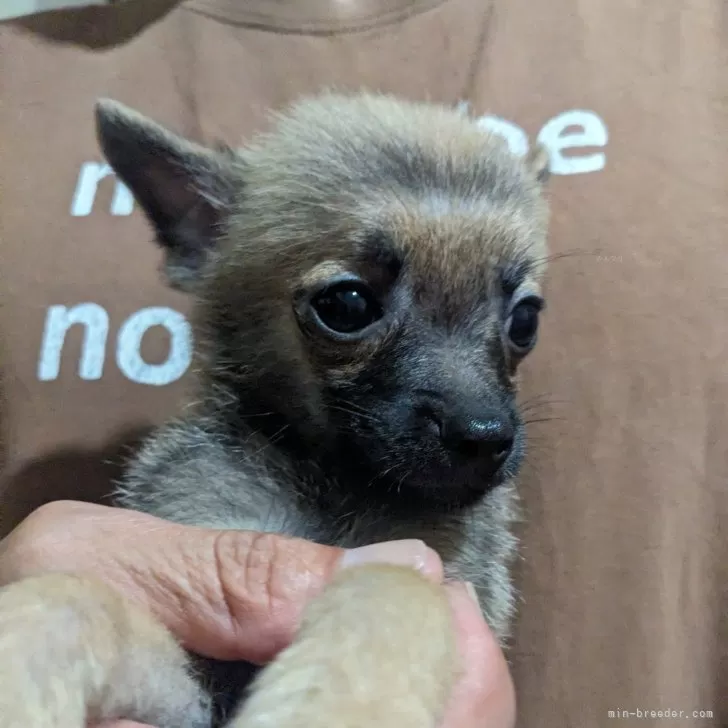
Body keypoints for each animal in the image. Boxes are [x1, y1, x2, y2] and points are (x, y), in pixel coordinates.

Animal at [0, 92, 548, 728]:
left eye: (526, 320)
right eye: (347, 305)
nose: (484, 436)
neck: (334, 487)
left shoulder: (444, 580)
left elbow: (393, 585)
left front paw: (338, 703)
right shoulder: (195, 689)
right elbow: (81, 600)